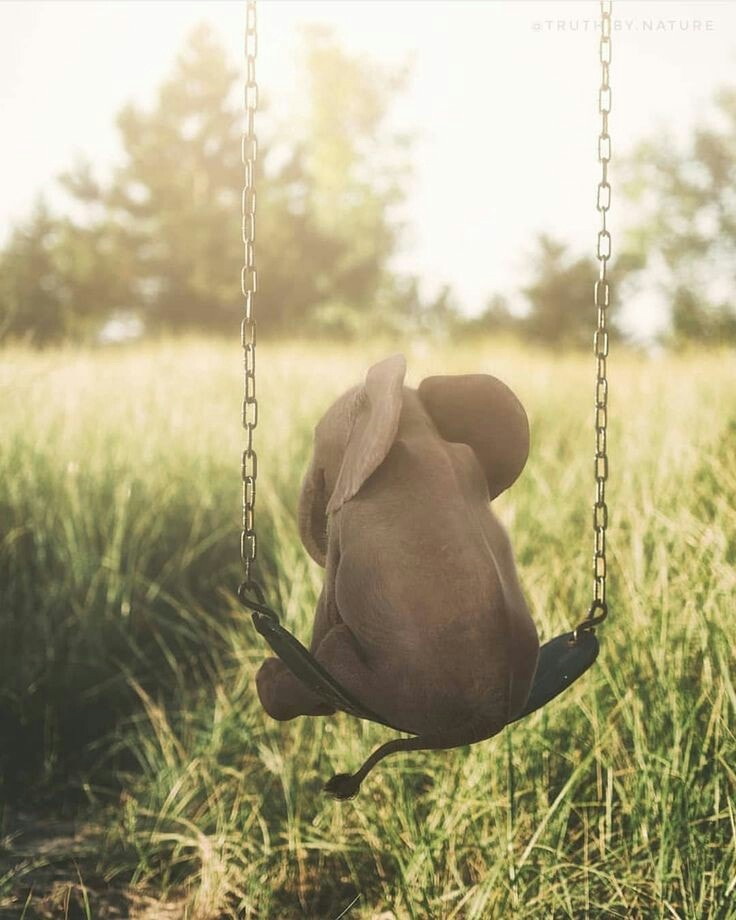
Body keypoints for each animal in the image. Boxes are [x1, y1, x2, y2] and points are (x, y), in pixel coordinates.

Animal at [255, 354, 539, 798]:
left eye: (316, 439)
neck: (403, 418)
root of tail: (487, 720)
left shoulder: (347, 518)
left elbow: (328, 609)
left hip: (391, 686)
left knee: (331, 657)